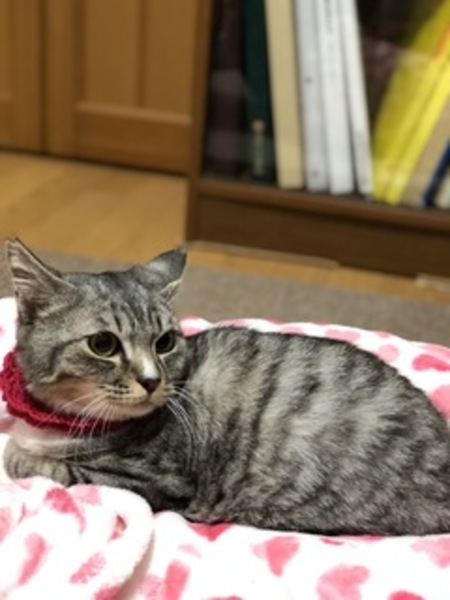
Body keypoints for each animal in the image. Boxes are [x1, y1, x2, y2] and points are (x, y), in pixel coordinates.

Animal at [3, 239, 450, 536]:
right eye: (102, 344)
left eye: (164, 342)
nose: (151, 380)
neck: (54, 422)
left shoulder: (155, 483)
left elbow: (57, 468)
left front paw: (20, 454)